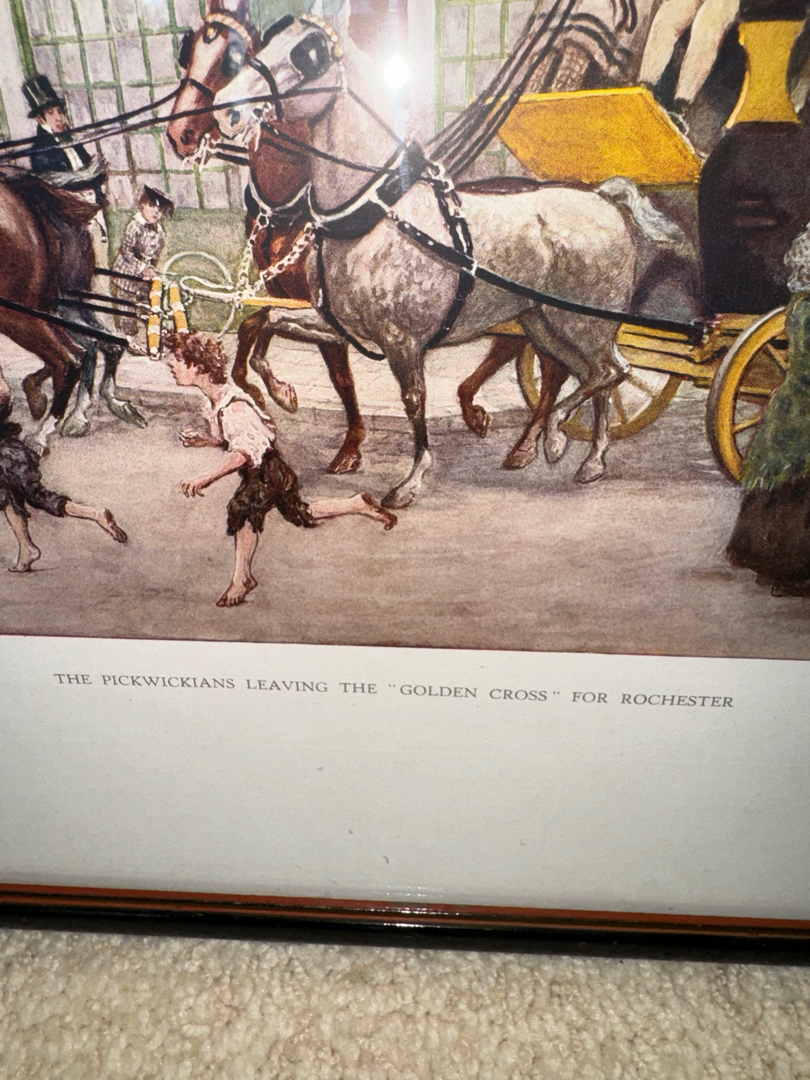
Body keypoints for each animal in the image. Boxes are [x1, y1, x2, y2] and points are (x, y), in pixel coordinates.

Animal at [214, 1, 688, 508]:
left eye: (309, 54)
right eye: (266, 42)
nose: (228, 111)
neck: (379, 215)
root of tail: (603, 197)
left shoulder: (403, 342)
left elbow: (413, 401)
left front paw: (411, 480)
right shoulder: (336, 323)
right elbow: (265, 323)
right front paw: (280, 393)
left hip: (585, 322)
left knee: (612, 372)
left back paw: (556, 436)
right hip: (546, 325)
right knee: (593, 376)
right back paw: (591, 459)